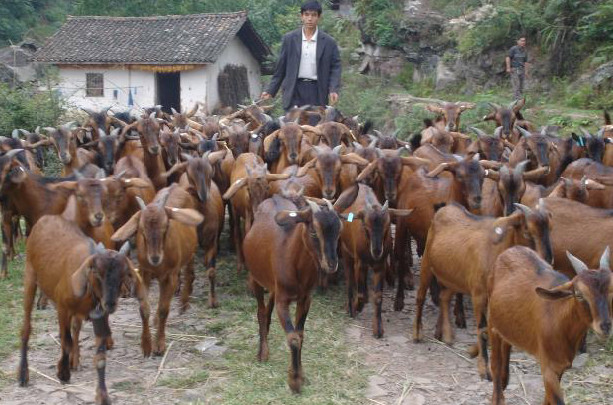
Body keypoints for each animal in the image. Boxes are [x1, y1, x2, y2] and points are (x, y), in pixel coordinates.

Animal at [19, 211, 149, 404]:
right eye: (97, 273)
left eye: (124, 275)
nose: (110, 303)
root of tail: (46, 218)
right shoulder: (63, 308)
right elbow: (65, 340)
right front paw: (63, 372)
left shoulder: (99, 315)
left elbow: (100, 356)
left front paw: (102, 395)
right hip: (30, 275)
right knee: (26, 327)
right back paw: (23, 374)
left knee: (76, 327)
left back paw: (75, 360)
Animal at [110, 185, 203, 354]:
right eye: (141, 230)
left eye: (166, 227)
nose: (154, 258)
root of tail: (175, 186)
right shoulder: (145, 274)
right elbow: (144, 309)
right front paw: (146, 345)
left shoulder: (170, 275)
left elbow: (164, 310)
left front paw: (159, 344)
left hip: (190, 253)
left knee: (189, 273)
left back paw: (184, 303)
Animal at [486, 245, 608, 402]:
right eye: (579, 294)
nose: (605, 326)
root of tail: (513, 248)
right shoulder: (548, 368)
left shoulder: (560, 367)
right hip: (491, 322)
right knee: (495, 361)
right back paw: (498, 397)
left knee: (507, 342)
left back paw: (504, 380)